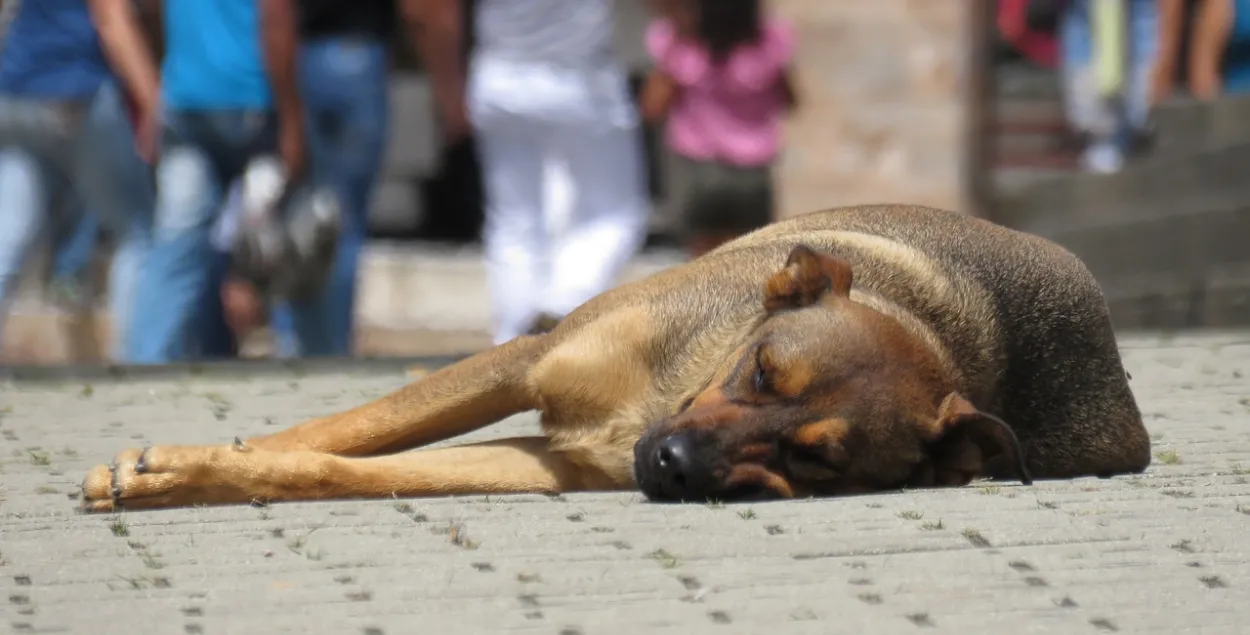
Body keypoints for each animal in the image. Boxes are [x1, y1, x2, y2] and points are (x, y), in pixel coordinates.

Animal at [78, 203, 1150, 510]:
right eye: (763, 372)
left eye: (814, 458)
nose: (670, 465)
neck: (663, 396)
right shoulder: (527, 358)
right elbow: (345, 427)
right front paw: (176, 464)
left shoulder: (550, 463)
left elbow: (334, 467)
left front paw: (193, 473)